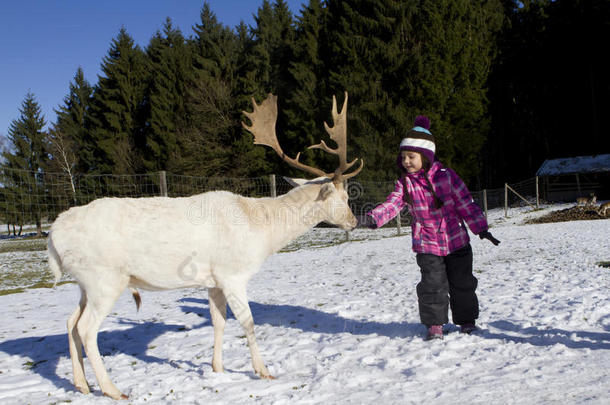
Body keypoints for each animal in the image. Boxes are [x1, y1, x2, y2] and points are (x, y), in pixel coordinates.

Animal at [48, 91, 360, 398]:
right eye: (344, 198)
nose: (354, 221)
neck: (261, 231)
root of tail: (53, 235)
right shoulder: (233, 274)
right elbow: (247, 322)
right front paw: (263, 371)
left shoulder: (213, 281)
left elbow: (218, 321)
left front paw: (217, 368)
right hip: (104, 279)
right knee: (87, 329)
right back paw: (112, 390)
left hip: (85, 284)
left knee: (70, 323)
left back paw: (81, 384)